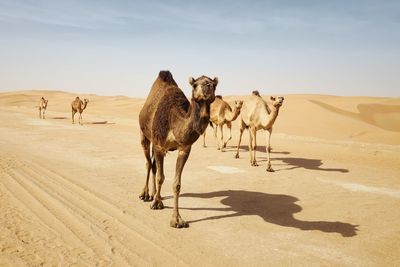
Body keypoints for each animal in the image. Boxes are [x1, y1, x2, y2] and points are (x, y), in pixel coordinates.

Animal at [138, 70, 219, 228]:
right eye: (195, 84)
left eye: (214, 84)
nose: (207, 86)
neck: (174, 122)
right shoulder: (159, 146)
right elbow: (161, 177)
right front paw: (157, 204)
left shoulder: (184, 149)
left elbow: (177, 184)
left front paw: (176, 219)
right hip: (145, 136)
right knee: (148, 164)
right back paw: (146, 194)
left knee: (153, 166)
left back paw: (155, 194)